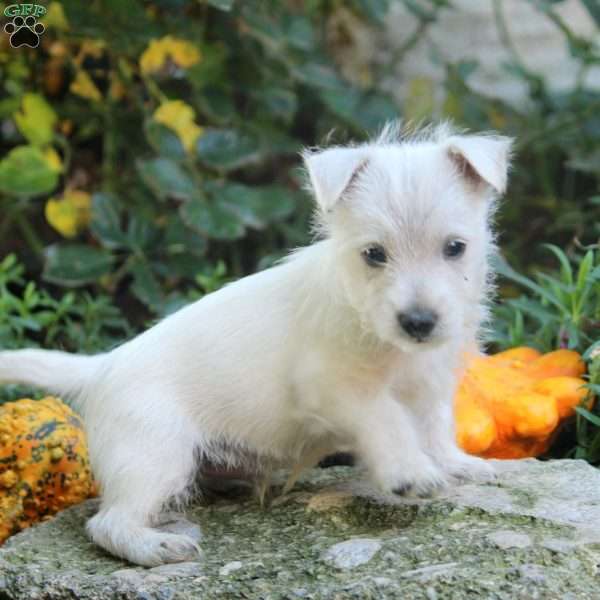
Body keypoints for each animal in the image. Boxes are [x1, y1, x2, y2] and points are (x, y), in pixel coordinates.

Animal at [0, 123, 510, 568]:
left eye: (455, 248)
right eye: (373, 255)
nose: (419, 322)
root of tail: (103, 364)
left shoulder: (431, 381)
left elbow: (435, 425)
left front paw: (457, 464)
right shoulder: (336, 389)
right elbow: (386, 418)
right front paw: (409, 472)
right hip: (154, 453)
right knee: (108, 523)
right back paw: (154, 547)